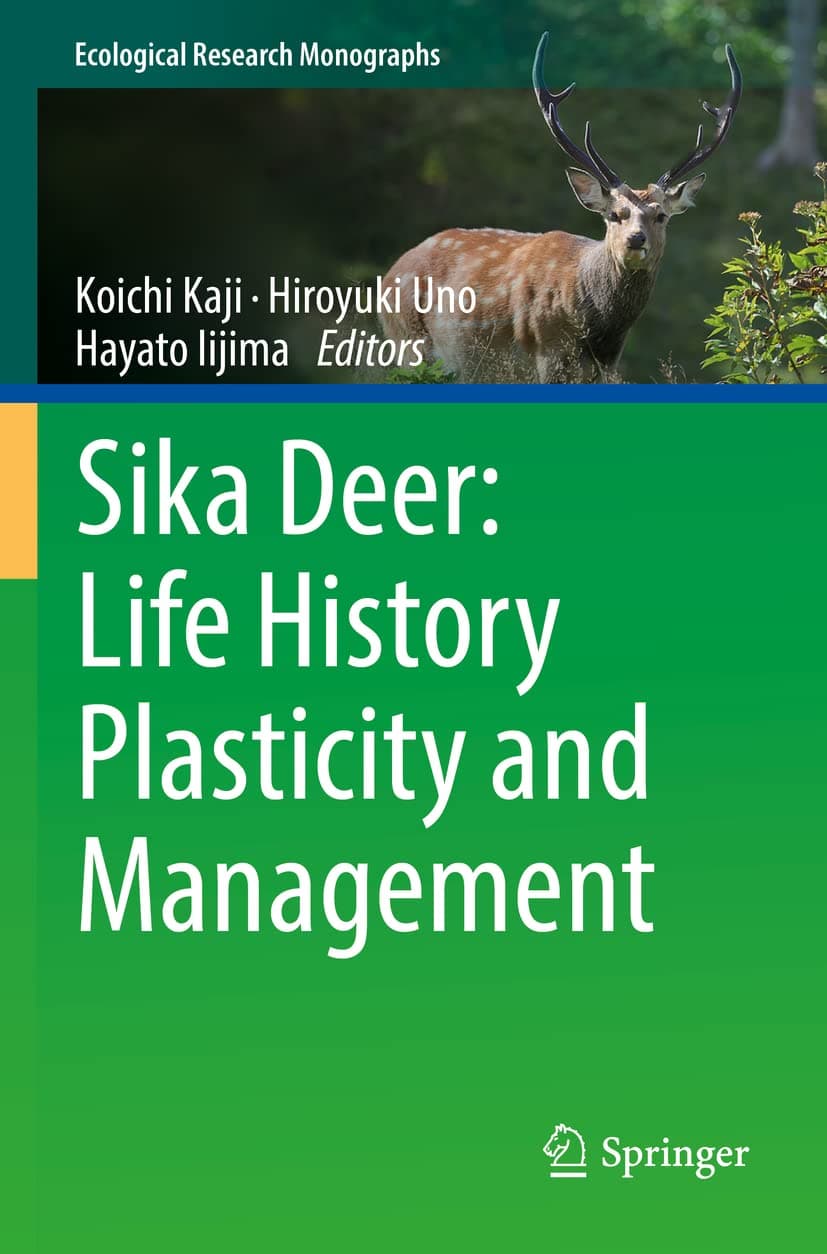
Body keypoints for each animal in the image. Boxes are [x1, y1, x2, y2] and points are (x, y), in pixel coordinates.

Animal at [380, 33, 742, 382]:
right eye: (614, 215)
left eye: (661, 215)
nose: (635, 239)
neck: (599, 334)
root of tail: (390, 274)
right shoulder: (548, 353)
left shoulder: (606, 367)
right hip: (410, 343)